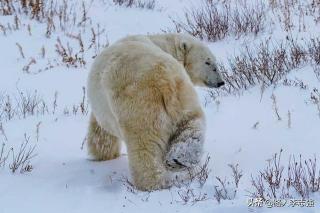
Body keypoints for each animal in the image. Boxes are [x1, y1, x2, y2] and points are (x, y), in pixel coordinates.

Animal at [86, 33, 224, 191]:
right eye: (208, 62)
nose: (221, 82)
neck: (161, 43)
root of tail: (164, 81)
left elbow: (101, 131)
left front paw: (102, 155)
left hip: (140, 107)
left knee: (144, 146)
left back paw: (151, 183)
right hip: (183, 95)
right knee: (191, 125)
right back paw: (179, 160)